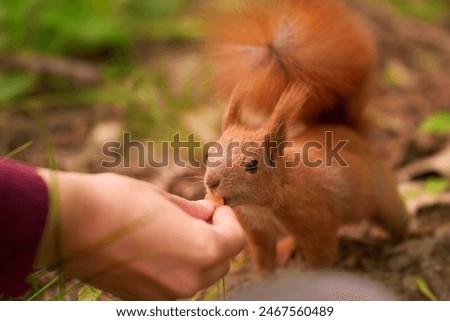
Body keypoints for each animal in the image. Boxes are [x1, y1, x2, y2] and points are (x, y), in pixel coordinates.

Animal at [202, 0, 410, 272]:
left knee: (398, 220)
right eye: (209, 152)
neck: (262, 205)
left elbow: (321, 257)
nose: (211, 182)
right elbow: (264, 260)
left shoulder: (315, 223)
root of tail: (346, 131)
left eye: (252, 164)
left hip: (384, 194)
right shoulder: (256, 232)